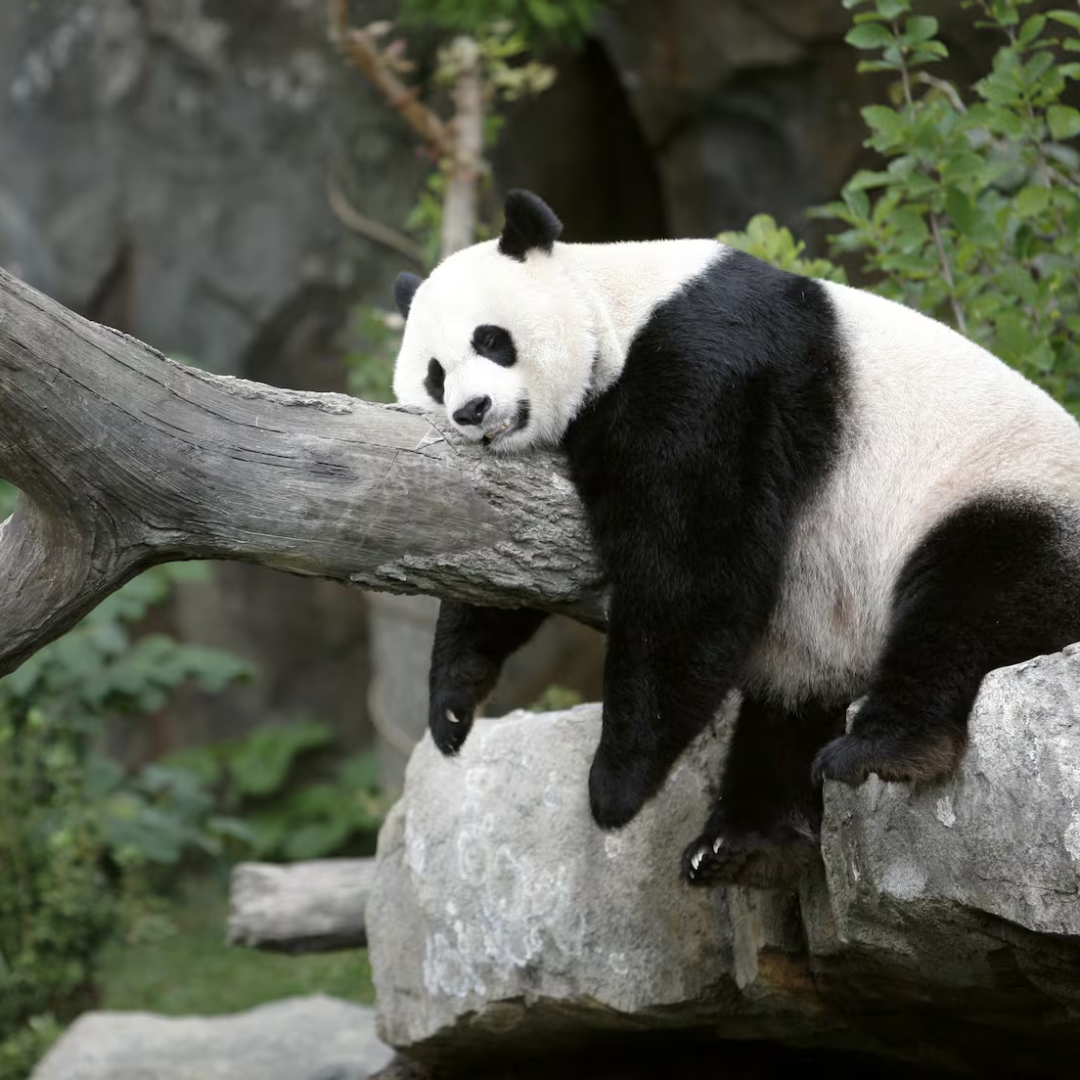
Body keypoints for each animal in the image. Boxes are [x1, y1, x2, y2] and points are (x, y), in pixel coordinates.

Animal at [391, 189, 1080, 888]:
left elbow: (692, 569)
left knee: (972, 599)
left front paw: (614, 785)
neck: (617, 306)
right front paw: (453, 703)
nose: (472, 410)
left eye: (491, 340)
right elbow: (501, 553)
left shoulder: (706, 366)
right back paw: (745, 841)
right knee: (788, 708)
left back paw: (882, 748)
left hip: (1006, 494)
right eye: (435, 375)